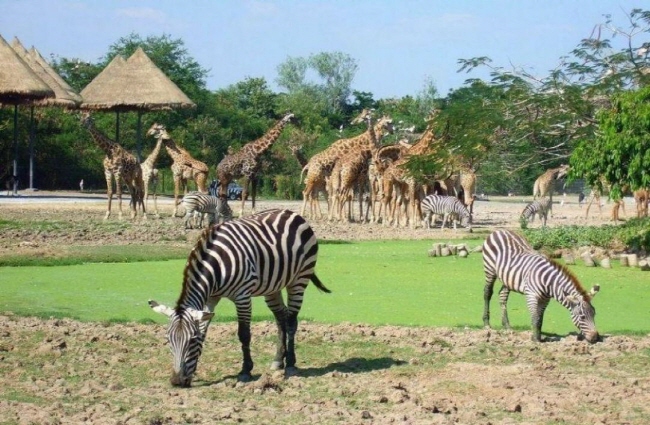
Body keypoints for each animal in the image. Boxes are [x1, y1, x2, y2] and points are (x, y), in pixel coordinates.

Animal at [147, 207, 330, 386]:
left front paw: (245, 371)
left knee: (291, 320)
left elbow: (244, 334)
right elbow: (204, 331)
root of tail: (292, 213)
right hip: (272, 287)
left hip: (299, 279)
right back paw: (278, 361)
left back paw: (291, 364)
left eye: (191, 340)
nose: (177, 381)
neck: (216, 267)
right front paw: (193, 371)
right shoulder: (211, 298)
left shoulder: (242, 296)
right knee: (281, 318)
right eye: (168, 340)